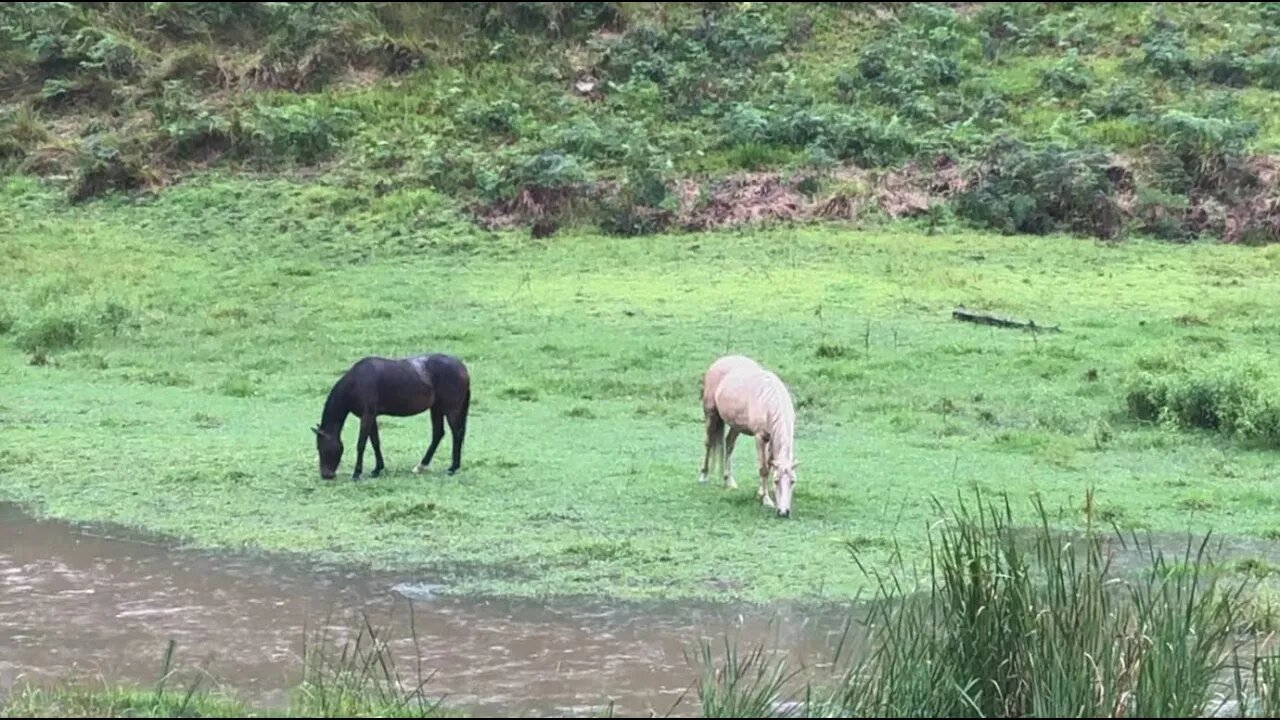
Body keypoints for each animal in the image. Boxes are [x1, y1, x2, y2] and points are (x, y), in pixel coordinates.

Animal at [312, 351, 473, 479]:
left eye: (321, 447)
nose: (326, 475)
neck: (357, 383)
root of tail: (462, 367)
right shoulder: (371, 416)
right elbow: (375, 442)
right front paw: (377, 469)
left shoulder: (367, 415)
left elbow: (361, 444)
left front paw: (357, 473)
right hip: (436, 408)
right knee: (438, 434)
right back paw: (421, 466)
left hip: (451, 409)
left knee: (457, 433)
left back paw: (453, 467)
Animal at [701, 353, 798, 515]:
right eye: (777, 481)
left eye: (793, 481)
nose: (783, 512)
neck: (770, 403)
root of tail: (720, 361)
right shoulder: (760, 438)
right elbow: (763, 468)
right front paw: (766, 499)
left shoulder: (771, 439)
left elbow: (769, 465)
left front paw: (762, 492)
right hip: (711, 415)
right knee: (708, 444)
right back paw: (703, 476)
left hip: (736, 425)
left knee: (729, 444)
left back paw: (729, 480)